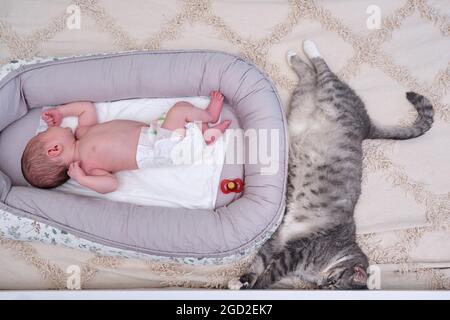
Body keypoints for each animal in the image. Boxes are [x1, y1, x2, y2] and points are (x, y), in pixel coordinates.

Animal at [229, 40, 432, 290]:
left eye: (332, 286)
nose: (323, 285)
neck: (338, 253)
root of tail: (367, 126)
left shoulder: (280, 243)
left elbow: (261, 264)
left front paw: (242, 282)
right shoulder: (294, 253)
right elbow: (266, 274)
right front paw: (249, 284)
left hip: (302, 96)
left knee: (308, 74)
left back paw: (293, 56)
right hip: (333, 93)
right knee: (323, 70)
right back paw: (308, 46)